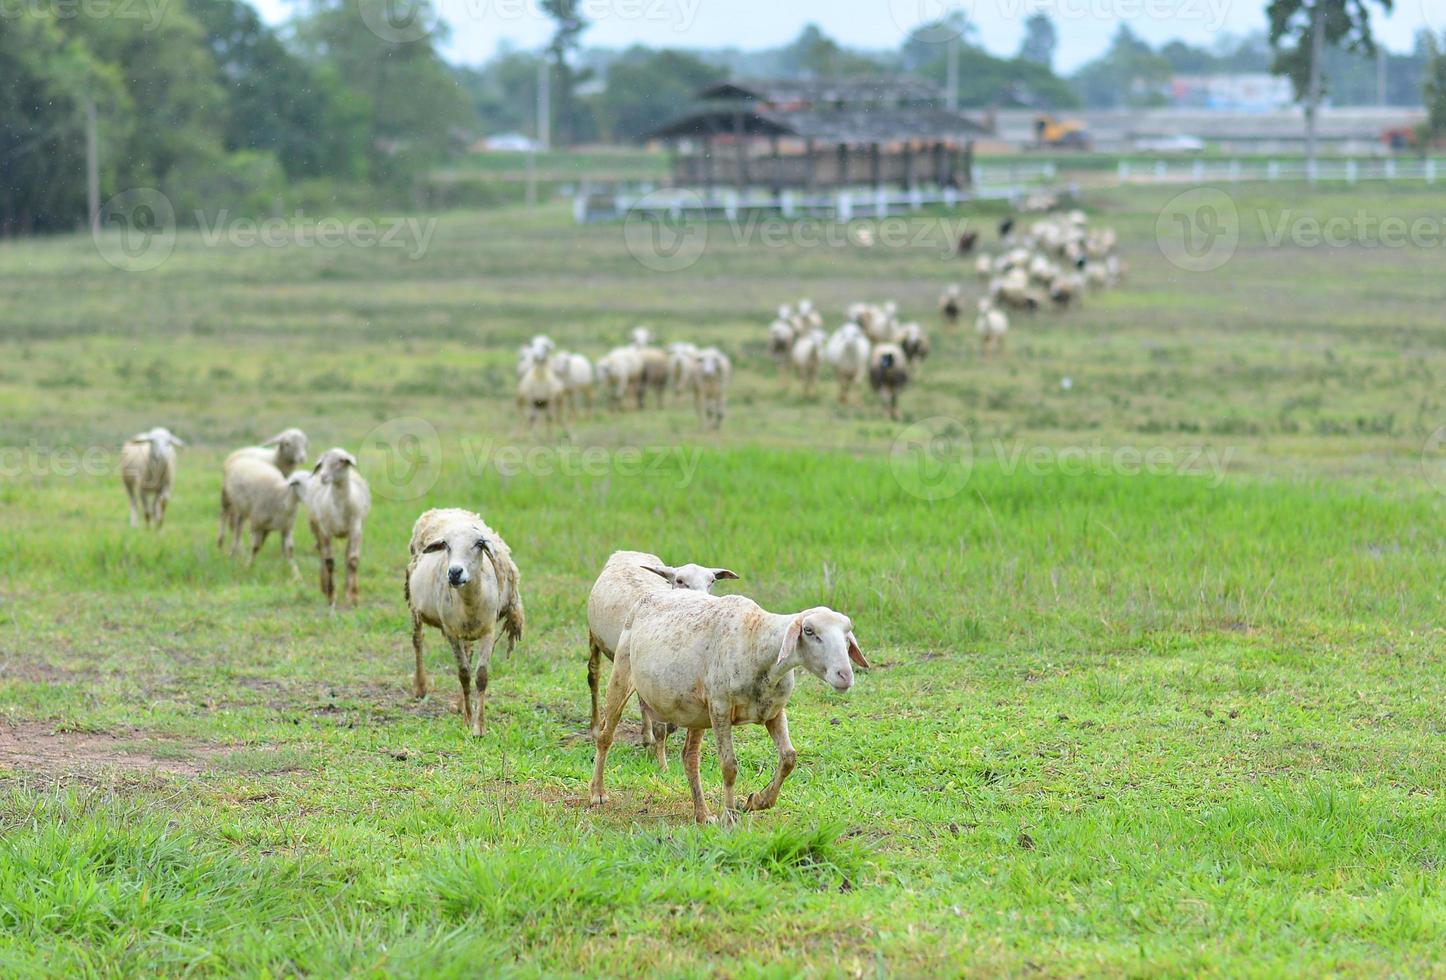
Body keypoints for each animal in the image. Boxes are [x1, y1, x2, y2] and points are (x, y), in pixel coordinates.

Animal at [294, 450, 370, 607]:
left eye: (340, 461)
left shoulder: (356, 529)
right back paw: (324, 586)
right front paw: (331, 595)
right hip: (316, 527)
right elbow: (329, 561)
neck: (339, 506)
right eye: (322, 463)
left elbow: (353, 560)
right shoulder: (325, 531)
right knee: (322, 554)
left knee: (346, 556)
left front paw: (353, 596)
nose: (323, 476)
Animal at [404, 505, 523, 737]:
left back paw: (459, 704)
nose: (454, 572)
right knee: (417, 641)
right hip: (415, 606)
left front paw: (479, 727)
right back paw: (421, 686)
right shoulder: (451, 631)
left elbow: (481, 676)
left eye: (478, 544)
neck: (469, 601)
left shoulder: (488, 631)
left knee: (468, 652)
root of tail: (447, 509)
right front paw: (468, 721)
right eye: (446, 546)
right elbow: (464, 674)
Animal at [584, 549, 740, 757]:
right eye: (680, 581)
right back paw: (595, 727)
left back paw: (645, 735)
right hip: (596, 637)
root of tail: (627, 551)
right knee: (594, 675)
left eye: (712, 581)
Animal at [589, 592, 867, 826]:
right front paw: (731, 816)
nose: (844, 675)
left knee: (690, 758)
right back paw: (597, 793)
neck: (756, 641)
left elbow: (789, 758)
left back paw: (702, 814)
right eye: (809, 631)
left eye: (847, 633)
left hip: (696, 711)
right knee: (605, 737)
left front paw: (758, 801)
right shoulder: (720, 708)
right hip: (622, 673)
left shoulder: (773, 711)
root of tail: (648, 596)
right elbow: (729, 766)